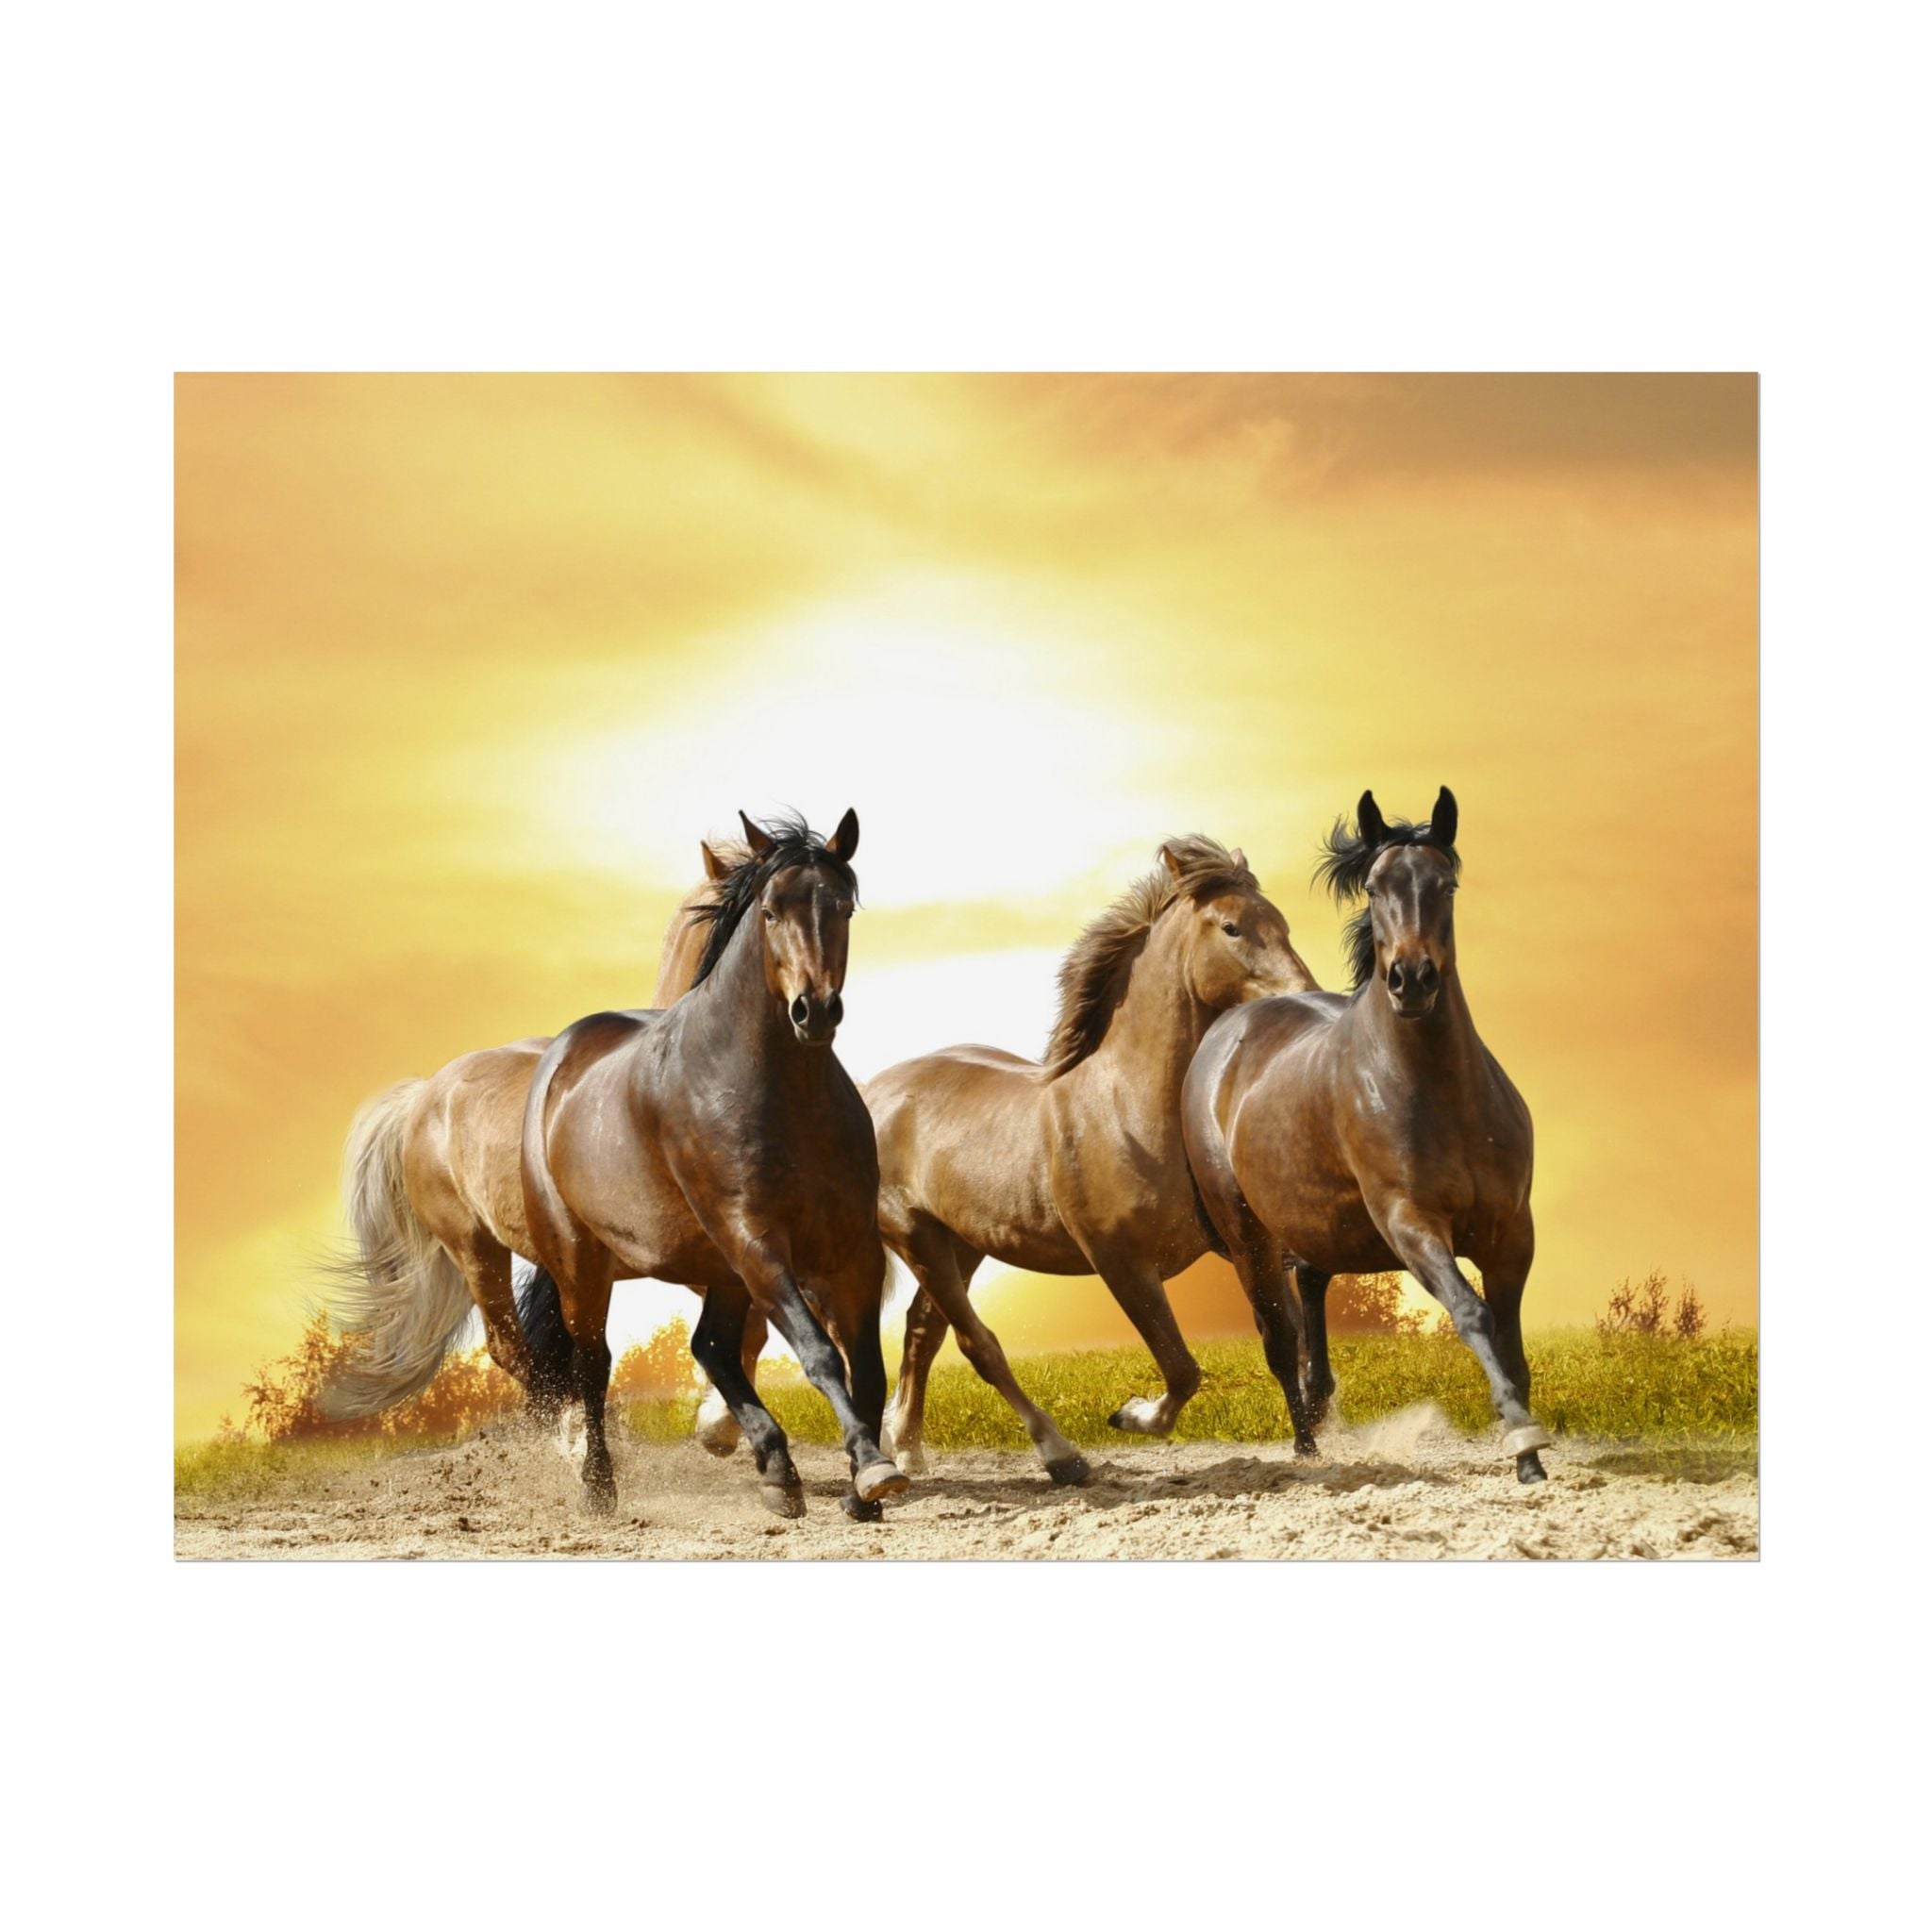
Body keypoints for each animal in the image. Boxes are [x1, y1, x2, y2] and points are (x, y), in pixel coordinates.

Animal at [520, 809, 908, 1517]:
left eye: (842, 906)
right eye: (771, 911)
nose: (815, 1010)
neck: (780, 1093)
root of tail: (559, 1060)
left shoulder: (852, 1247)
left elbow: (865, 1366)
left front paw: (863, 1487)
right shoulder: (756, 1238)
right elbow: (819, 1354)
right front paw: (872, 1469)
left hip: (719, 1266)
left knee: (712, 1346)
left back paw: (777, 1470)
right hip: (584, 1264)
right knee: (594, 1364)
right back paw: (599, 1487)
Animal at [864, 836, 1319, 1484]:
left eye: (1281, 922)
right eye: (1232, 927)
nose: (1303, 997)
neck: (1128, 1107)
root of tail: (875, 1091)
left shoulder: (1246, 1244)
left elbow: (1284, 1340)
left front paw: (1315, 1444)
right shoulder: (1120, 1263)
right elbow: (1182, 1369)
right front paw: (1130, 1414)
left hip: (962, 1244)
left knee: (922, 1332)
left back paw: (906, 1446)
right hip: (917, 1238)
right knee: (978, 1344)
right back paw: (1061, 1456)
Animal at [1181, 788, 1553, 1483]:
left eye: (1446, 883)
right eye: (1376, 887)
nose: (1411, 979)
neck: (1440, 1093)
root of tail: (1228, 1029)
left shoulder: (1512, 1231)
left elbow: (1512, 1342)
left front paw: (1531, 1454)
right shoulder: (1410, 1222)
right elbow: (1473, 1314)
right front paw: (1522, 1440)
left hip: (1318, 1224)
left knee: (1310, 1292)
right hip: (1247, 1235)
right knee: (1279, 1339)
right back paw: (1306, 1448)